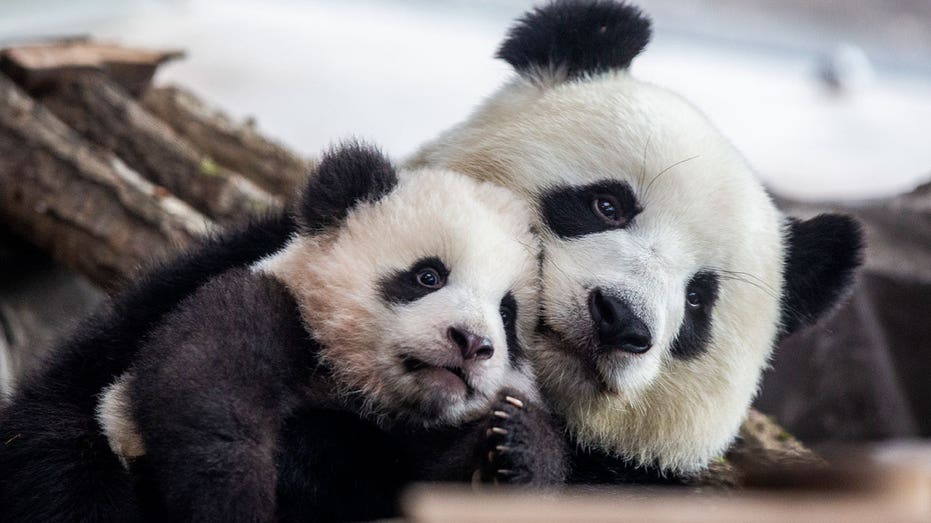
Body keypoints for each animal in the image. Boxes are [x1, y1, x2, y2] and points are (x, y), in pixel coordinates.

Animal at [1, 143, 560, 523]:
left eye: (507, 314)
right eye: (428, 276)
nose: (472, 343)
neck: (358, 391)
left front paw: (511, 448)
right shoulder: (267, 305)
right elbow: (204, 383)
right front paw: (234, 502)